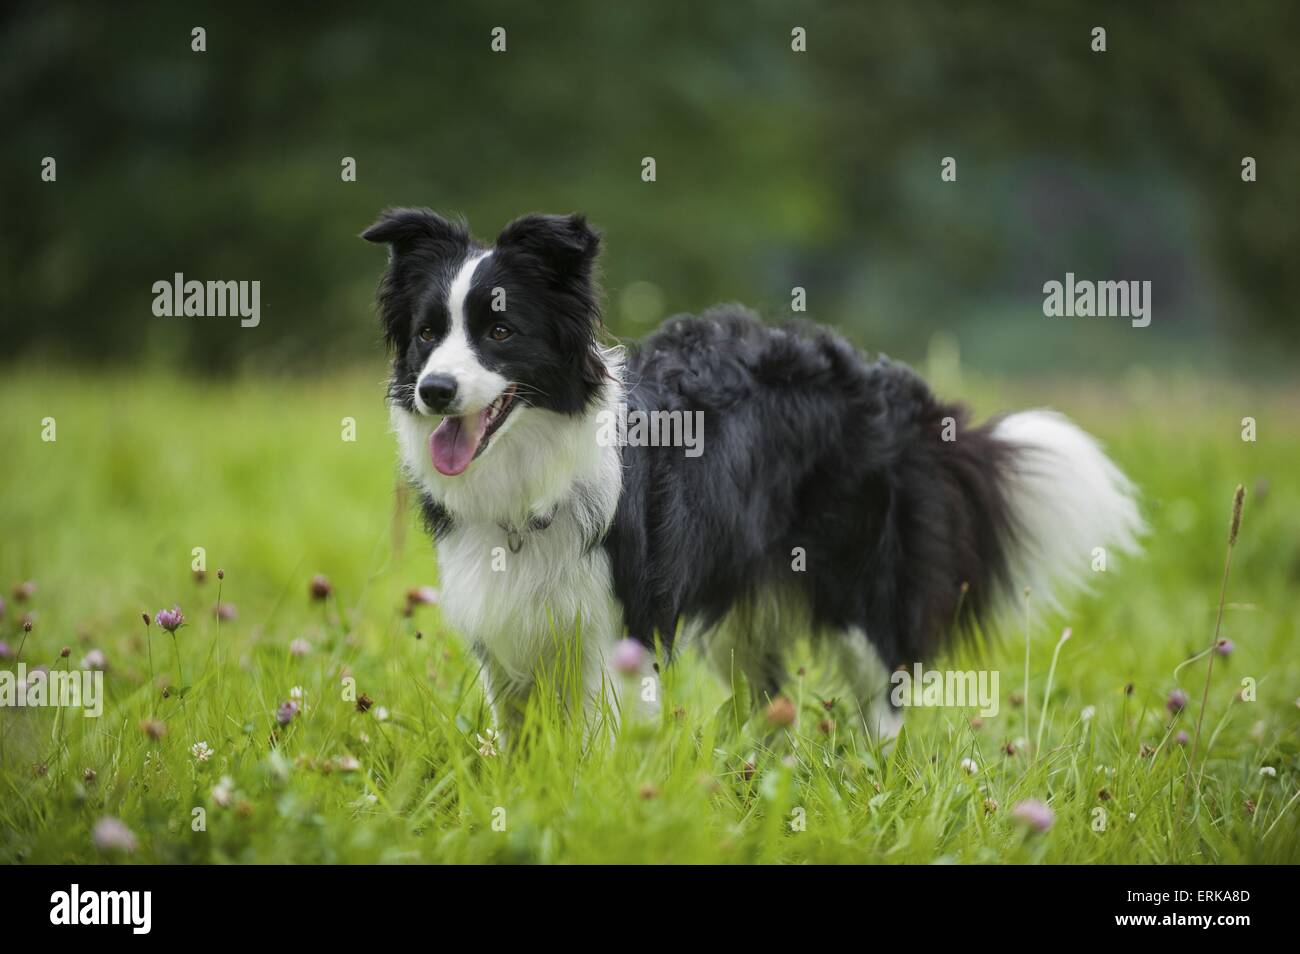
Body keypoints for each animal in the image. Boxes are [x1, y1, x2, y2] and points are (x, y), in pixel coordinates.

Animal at [361, 213, 1144, 743]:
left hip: (860, 582)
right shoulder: (503, 624)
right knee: (768, 700)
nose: (433, 391)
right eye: (427, 334)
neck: (530, 467)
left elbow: (601, 737)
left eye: (499, 333)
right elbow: (519, 736)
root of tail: (899, 392)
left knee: (883, 693)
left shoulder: (620, 622)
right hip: (744, 605)